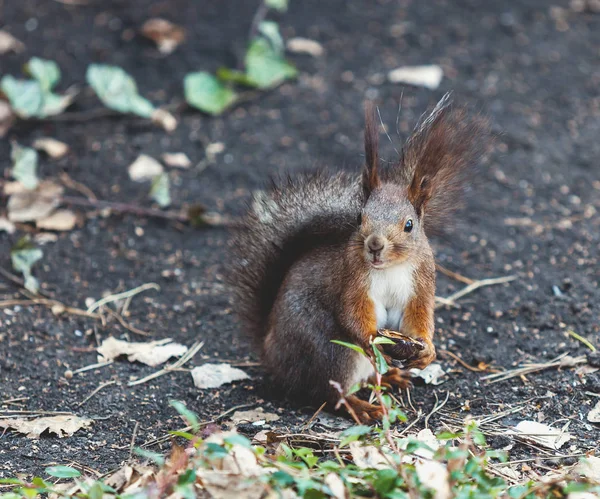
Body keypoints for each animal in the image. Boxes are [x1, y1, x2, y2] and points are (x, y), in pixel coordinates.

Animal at [227, 93, 490, 422]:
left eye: (409, 225)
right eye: (360, 218)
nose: (375, 244)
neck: (390, 268)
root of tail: (270, 353)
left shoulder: (421, 282)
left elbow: (419, 318)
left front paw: (427, 350)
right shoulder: (351, 280)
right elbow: (352, 315)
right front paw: (372, 340)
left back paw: (389, 377)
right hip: (330, 351)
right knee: (331, 394)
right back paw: (364, 408)